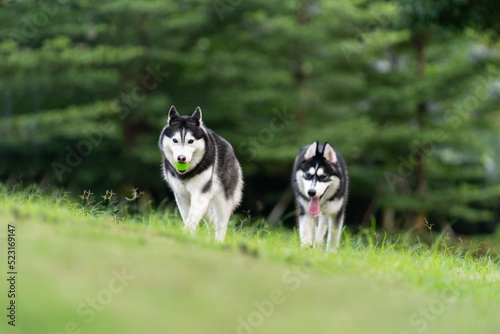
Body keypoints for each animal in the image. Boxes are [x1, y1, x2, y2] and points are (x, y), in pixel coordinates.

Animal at [156, 105, 242, 241]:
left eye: (191, 141)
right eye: (175, 140)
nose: (181, 158)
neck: (186, 173)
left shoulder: (200, 193)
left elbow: (193, 216)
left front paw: (187, 233)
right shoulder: (182, 195)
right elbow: (188, 216)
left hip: (221, 199)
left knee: (221, 222)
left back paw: (218, 241)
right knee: (211, 218)